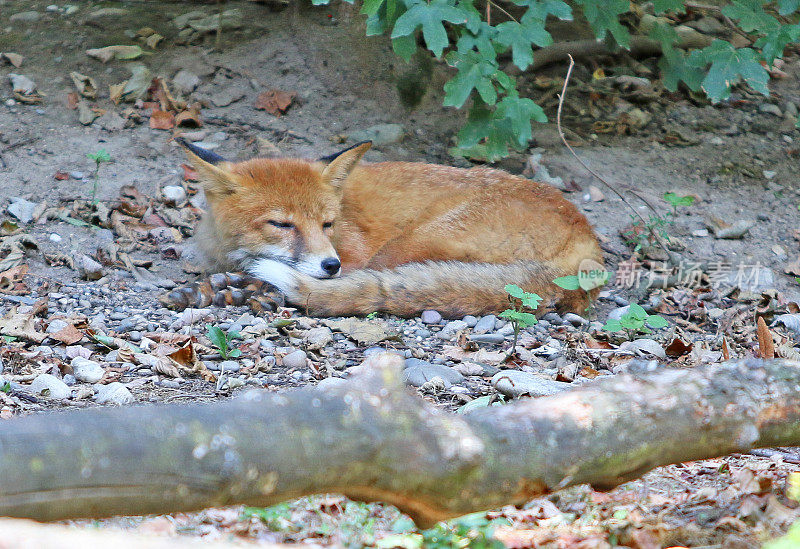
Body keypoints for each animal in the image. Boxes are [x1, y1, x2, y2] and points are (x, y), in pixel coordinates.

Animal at [178, 138, 604, 316]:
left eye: (328, 223)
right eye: (282, 224)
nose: (330, 265)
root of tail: (587, 236)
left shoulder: (354, 252)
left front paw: (240, 287)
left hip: (408, 244)